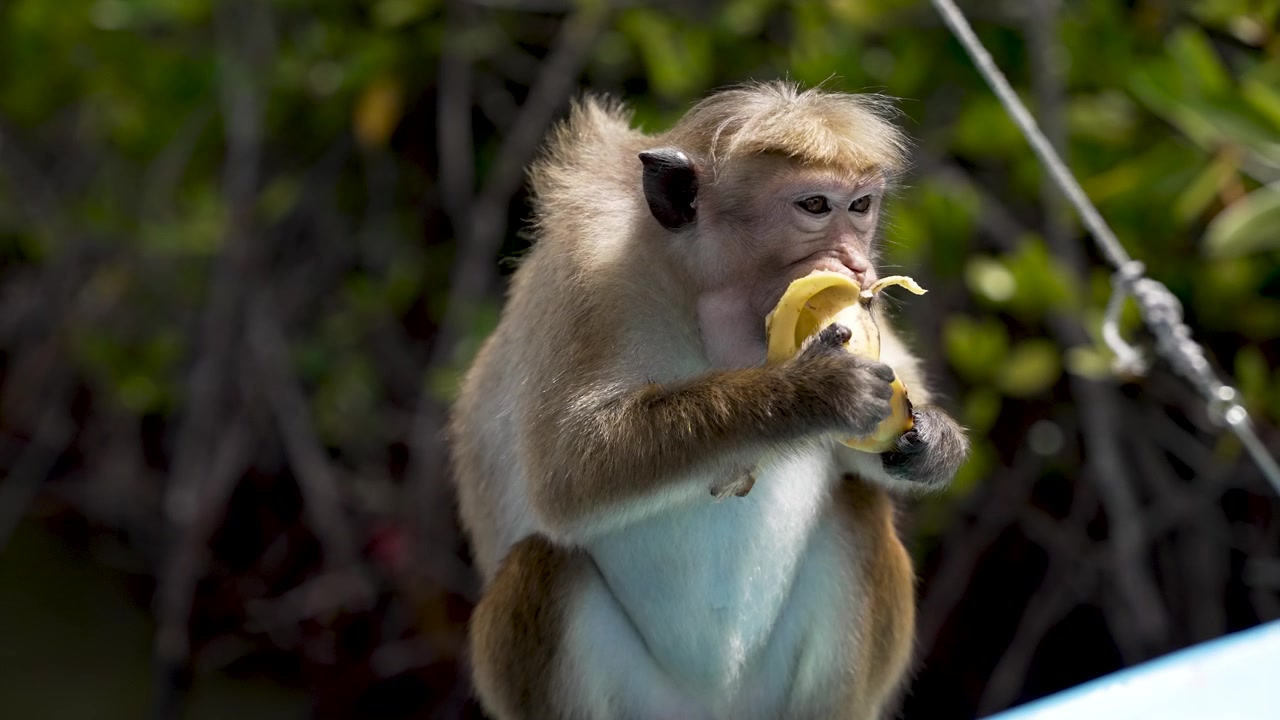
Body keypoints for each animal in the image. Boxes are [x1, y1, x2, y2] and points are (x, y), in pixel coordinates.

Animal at [447, 80, 970, 720]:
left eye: (860, 206)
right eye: (815, 205)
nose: (855, 263)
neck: (696, 296)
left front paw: (933, 440)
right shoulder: (587, 277)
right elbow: (568, 474)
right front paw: (809, 394)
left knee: (860, 507)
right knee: (542, 562)